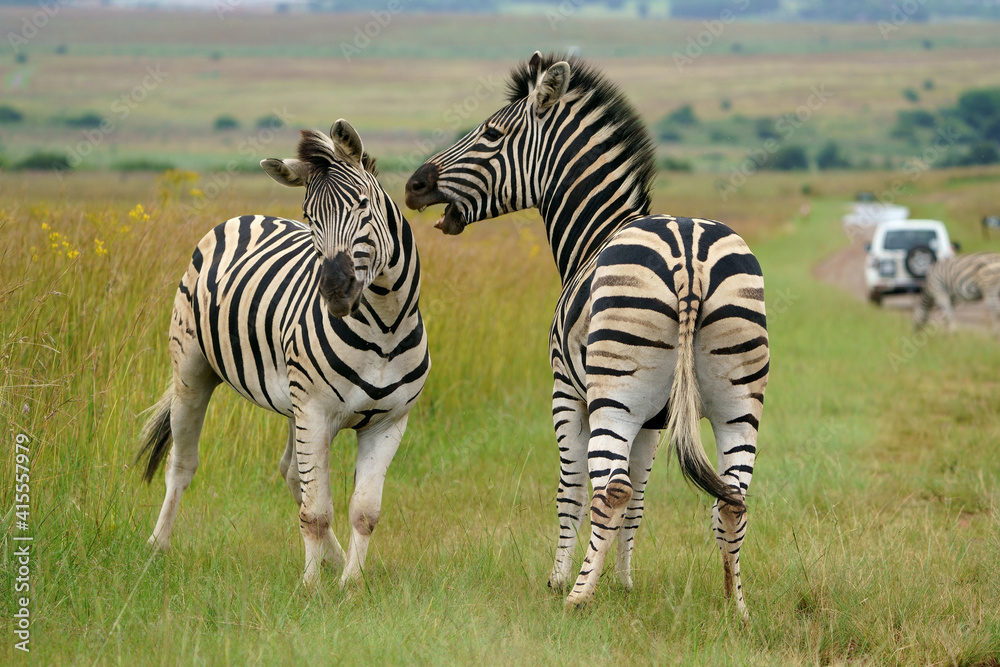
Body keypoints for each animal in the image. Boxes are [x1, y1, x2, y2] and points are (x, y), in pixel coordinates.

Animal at [138, 120, 429, 590]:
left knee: (292, 473)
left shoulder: (388, 422)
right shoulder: (315, 410)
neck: (384, 327)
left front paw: (351, 584)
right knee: (181, 464)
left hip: (294, 403)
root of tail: (245, 217)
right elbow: (316, 511)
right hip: (192, 371)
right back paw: (157, 547)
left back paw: (335, 559)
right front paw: (310, 589)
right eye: (310, 218)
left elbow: (363, 512)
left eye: (364, 205)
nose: (334, 289)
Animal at [405, 53, 768, 620]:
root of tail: (689, 254)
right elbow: (640, 499)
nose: (414, 185)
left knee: (609, 489)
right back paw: (736, 604)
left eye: (490, 134)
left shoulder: (566, 391)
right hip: (738, 397)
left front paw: (562, 580)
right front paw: (624, 583)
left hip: (615, 394)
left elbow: (572, 488)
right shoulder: (654, 418)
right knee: (732, 496)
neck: (596, 233)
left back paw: (578, 596)